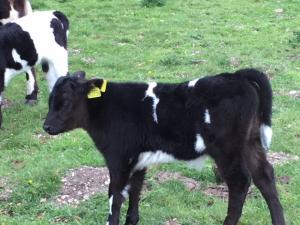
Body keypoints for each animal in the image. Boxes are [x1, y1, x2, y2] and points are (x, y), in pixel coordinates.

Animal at [43, 69, 284, 225]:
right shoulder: (138, 159)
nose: (46, 126)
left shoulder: (118, 159)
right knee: (265, 176)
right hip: (250, 142)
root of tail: (236, 76)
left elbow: (115, 197)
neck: (107, 107)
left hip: (228, 149)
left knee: (240, 182)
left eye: (64, 102)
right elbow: (135, 191)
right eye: (50, 100)